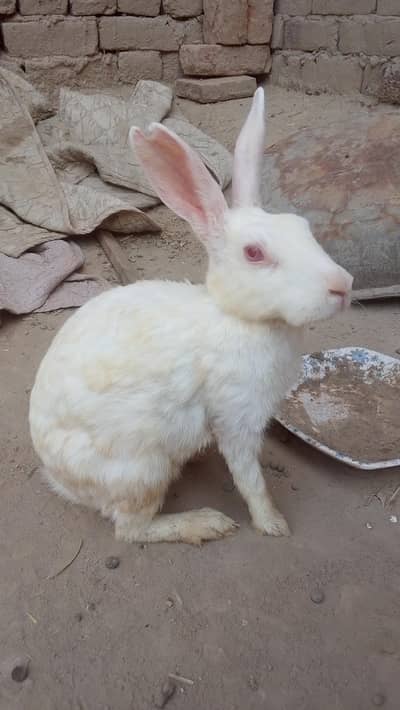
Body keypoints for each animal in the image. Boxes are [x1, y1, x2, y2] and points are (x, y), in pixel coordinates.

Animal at [29, 88, 353, 544]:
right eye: (254, 253)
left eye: (302, 227)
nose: (343, 286)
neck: (237, 316)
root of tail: (61, 479)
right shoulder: (236, 417)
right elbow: (249, 478)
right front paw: (272, 524)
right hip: (142, 470)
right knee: (130, 529)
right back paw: (205, 522)